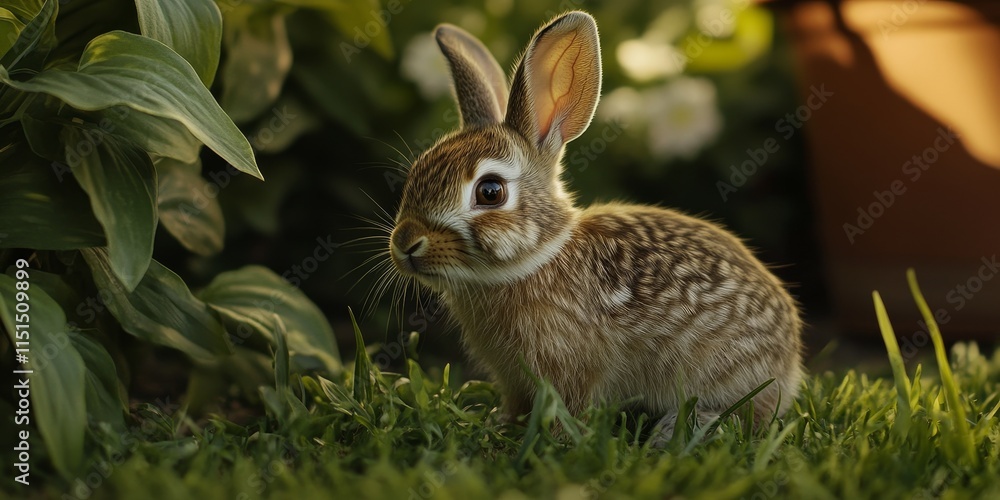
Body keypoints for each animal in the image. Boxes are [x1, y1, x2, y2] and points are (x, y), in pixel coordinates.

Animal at [388, 11, 804, 439]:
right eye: (418, 170)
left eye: (490, 192)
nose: (406, 243)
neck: (536, 260)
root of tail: (789, 361)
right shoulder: (513, 376)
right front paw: (502, 423)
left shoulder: (569, 365)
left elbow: (567, 403)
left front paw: (552, 437)